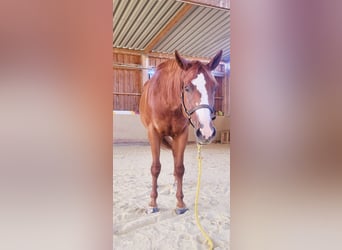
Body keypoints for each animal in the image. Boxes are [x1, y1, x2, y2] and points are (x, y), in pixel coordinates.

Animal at [139, 49, 222, 214]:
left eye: (214, 87)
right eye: (187, 88)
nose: (206, 132)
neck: (167, 99)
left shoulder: (181, 134)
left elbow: (179, 168)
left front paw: (180, 203)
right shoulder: (153, 133)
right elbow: (155, 168)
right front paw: (152, 203)